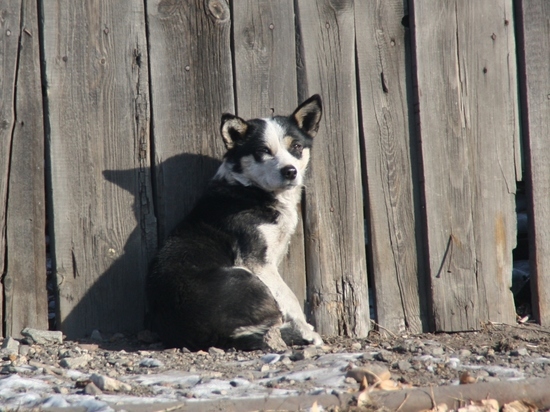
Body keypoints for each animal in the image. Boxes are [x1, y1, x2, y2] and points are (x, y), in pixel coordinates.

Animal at [149, 96, 326, 350]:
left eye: (296, 147)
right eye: (263, 151)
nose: (290, 171)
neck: (251, 189)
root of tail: (216, 336)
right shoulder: (258, 263)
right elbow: (289, 298)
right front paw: (308, 331)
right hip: (244, 275)